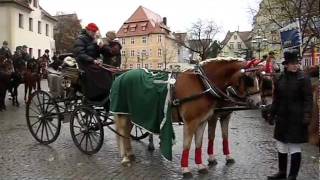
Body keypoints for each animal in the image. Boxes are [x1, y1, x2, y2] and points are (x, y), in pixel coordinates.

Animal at [111, 58, 262, 177]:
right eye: (249, 79)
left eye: (259, 79)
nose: (258, 103)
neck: (202, 84)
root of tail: (122, 75)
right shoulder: (191, 122)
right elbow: (187, 144)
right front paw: (185, 169)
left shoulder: (202, 121)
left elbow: (199, 143)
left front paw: (200, 165)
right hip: (124, 113)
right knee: (123, 132)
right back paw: (125, 158)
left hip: (132, 114)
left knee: (126, 133)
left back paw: (130, 154)